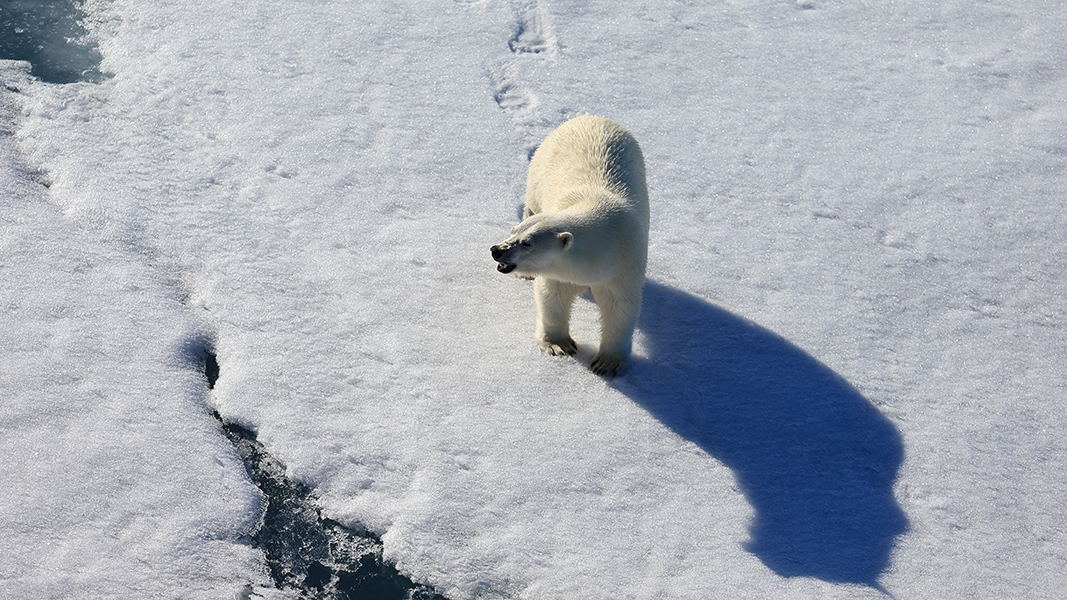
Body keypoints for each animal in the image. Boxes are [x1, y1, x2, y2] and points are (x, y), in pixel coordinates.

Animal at [488, 114, 644, 375]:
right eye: (513, 232)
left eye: (528, 243)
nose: (497, 251)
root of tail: (590, 117)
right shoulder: (559, 271)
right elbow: (552, 295)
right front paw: (559, 345)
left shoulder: (624, 263)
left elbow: (620, 306)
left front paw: (608, 363)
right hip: (539, 170)